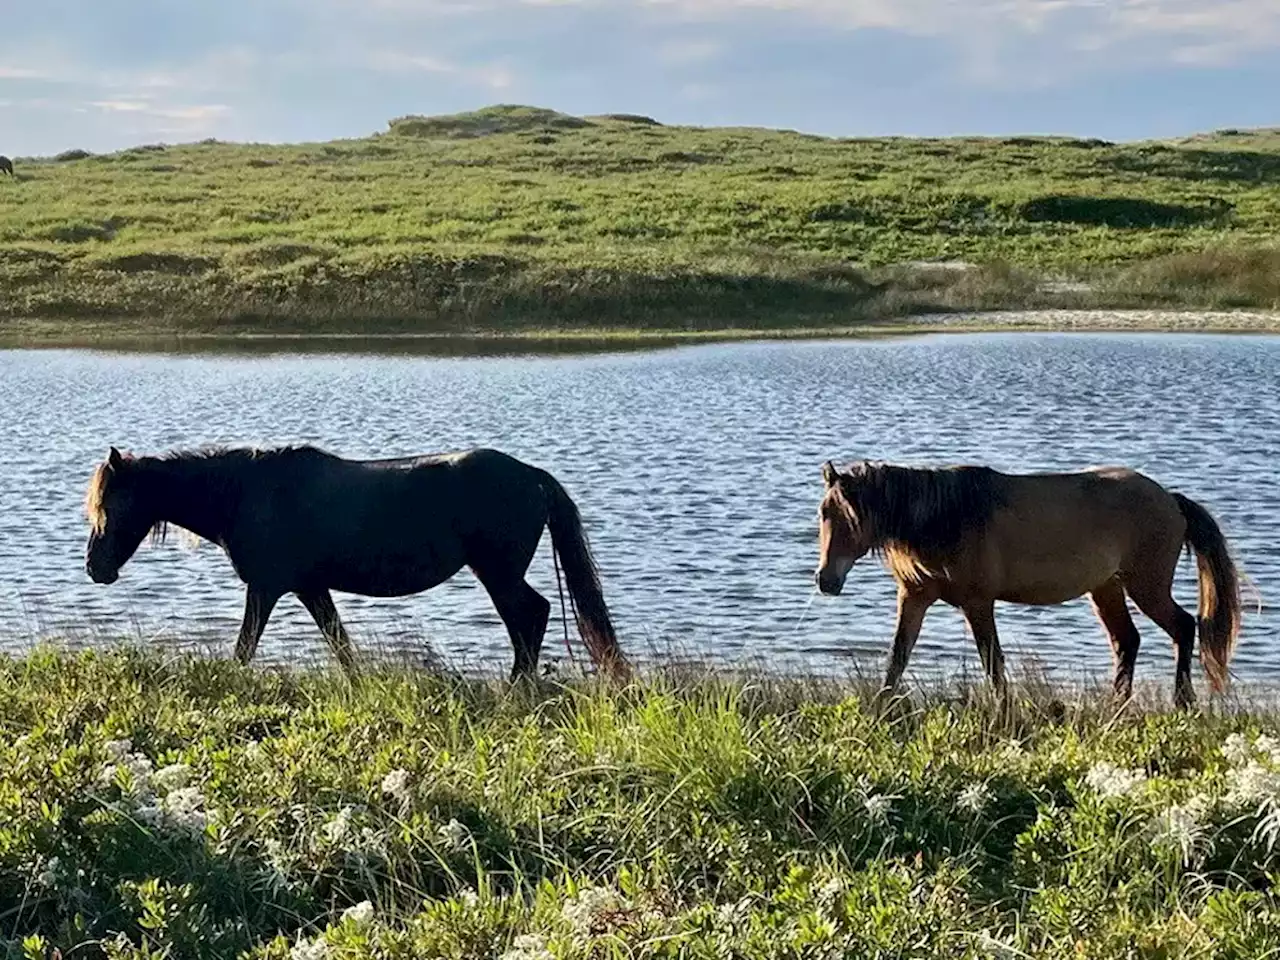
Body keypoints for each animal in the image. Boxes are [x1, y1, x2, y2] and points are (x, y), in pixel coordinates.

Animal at [82, 445, 632, 686]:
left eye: (111, 505)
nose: (94, 568)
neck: (245, 494)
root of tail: (532, 474)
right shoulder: (309, 587)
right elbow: (339, 642)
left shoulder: (266, 587)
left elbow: (245, 647)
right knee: (528, 619)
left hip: (497, 573)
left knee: (531, 616)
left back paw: (517, 687)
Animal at [814, 463, 1244, 711]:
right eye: (823, 513)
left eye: (847, 515)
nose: (825, 580)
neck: (946, 516)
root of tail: (1171, 500)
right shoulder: (915, 596)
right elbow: (897, 656)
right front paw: (881, 707)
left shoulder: (978, 602)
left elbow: (992, 661)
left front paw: (1004, 709)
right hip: (1107, 588)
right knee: (1127, 641)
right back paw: (1116, 705)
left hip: (1146, 585)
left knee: (1183, 626)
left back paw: (1182, 701)